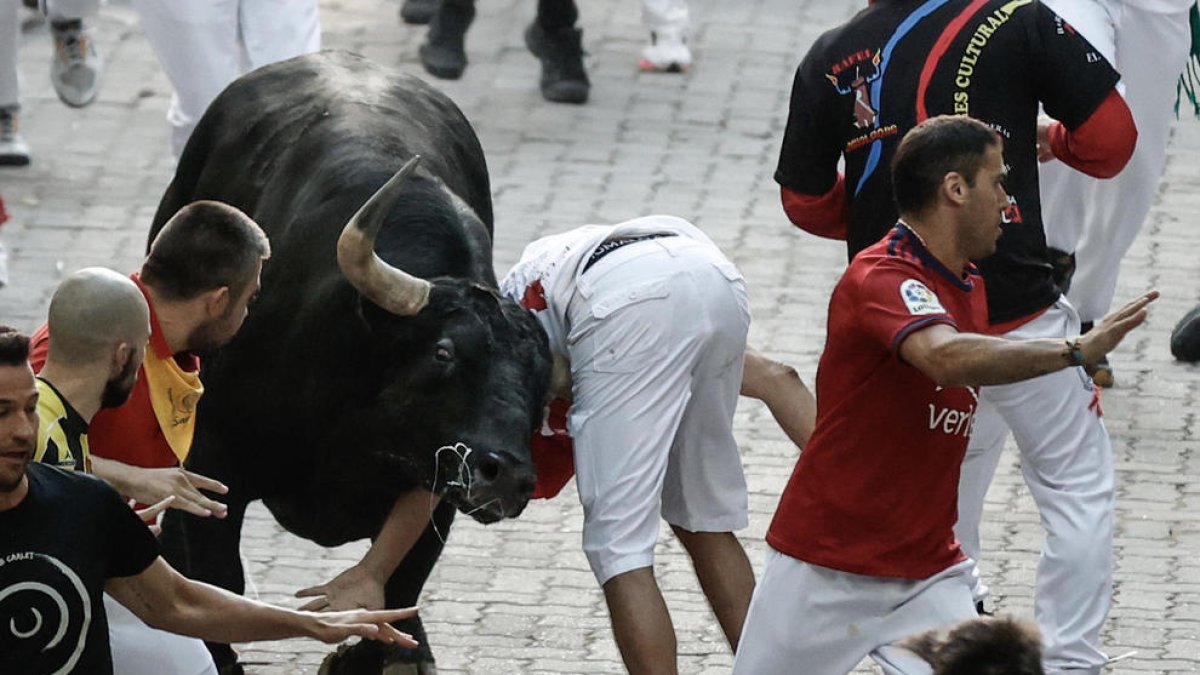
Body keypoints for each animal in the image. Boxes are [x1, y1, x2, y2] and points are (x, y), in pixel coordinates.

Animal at [154, 51, 552, 667]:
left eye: (542, 381)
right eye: (444, 351)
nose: (507, 476)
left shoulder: (435, 501)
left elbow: (393, 597)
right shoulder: (215, 468)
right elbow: (218, 589)